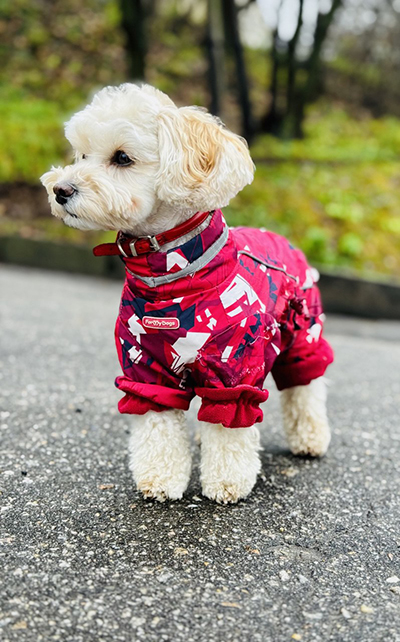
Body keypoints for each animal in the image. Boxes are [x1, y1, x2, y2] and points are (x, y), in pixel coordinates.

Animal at [41, 83, 334, 504]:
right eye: (80, 154)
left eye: (122, 157)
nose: (60, 190)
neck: (172, 282)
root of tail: (279, 236)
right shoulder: (145, 367)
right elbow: (158, 425)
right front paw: (160, 479)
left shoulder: (234, 370)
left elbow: (230, 425)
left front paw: (227, 483)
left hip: (303, 331)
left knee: (305, 385)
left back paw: (310, 439)